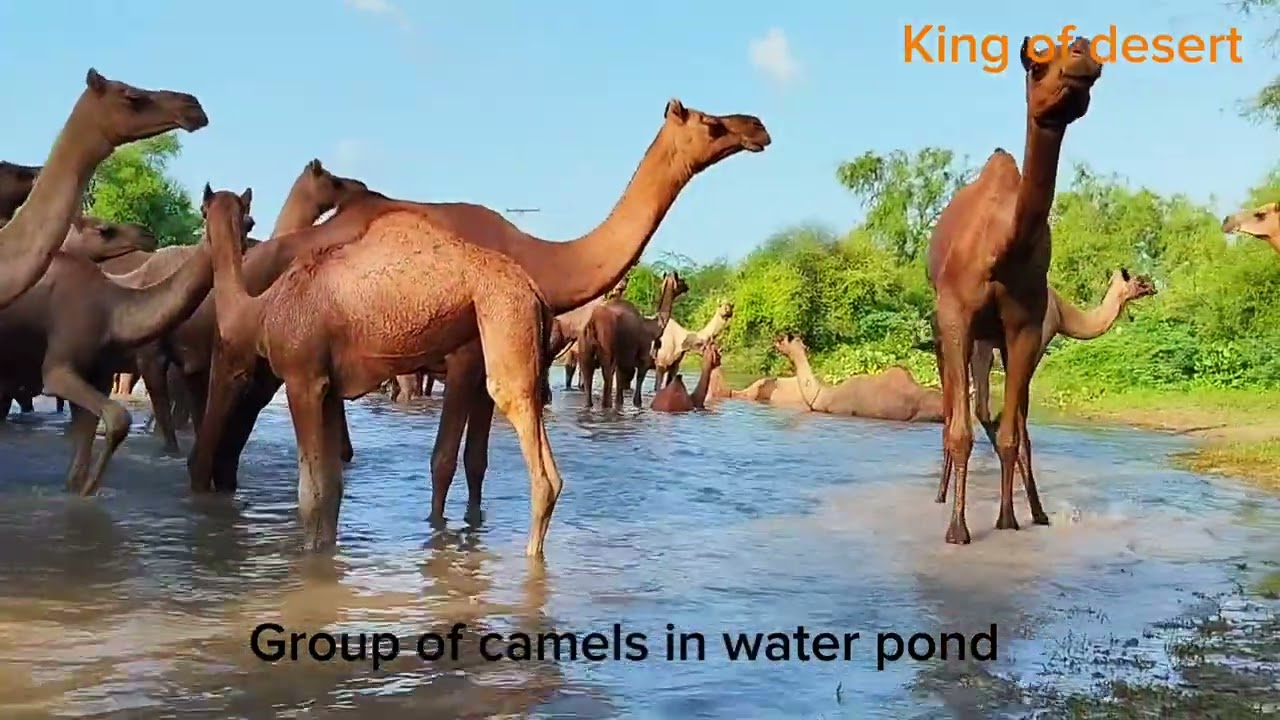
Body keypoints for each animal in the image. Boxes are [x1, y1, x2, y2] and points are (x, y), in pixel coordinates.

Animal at [200, 186, 563, 556]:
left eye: (248, 220)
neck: (260, 311)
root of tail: (534, 290)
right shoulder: (328, 388)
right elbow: (331, 490)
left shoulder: (302, 378)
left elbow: (310, 494)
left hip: (505, 314)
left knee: (533, 454)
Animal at [579, 271, 688, 409]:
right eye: (681, 281)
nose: (687, 287)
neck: (653, 326)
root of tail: (592, 322)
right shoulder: (644, 360)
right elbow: (638, 392)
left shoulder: (622, 362)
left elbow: (620, 393)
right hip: (606, 351)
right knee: (607, 381)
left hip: (584, 352)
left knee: (588, 379)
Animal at [927, 36, 1102, 545]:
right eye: (1036, 66)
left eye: (1091, 57)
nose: (1083, 60)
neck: (1003, 248)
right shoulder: (956, 315)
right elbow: (960, 430)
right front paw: (958, 530)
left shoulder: (1025, 325)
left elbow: (1011, 434)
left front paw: (1008, 519)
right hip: (950, 337)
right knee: (951, 412)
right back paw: (942, 497)